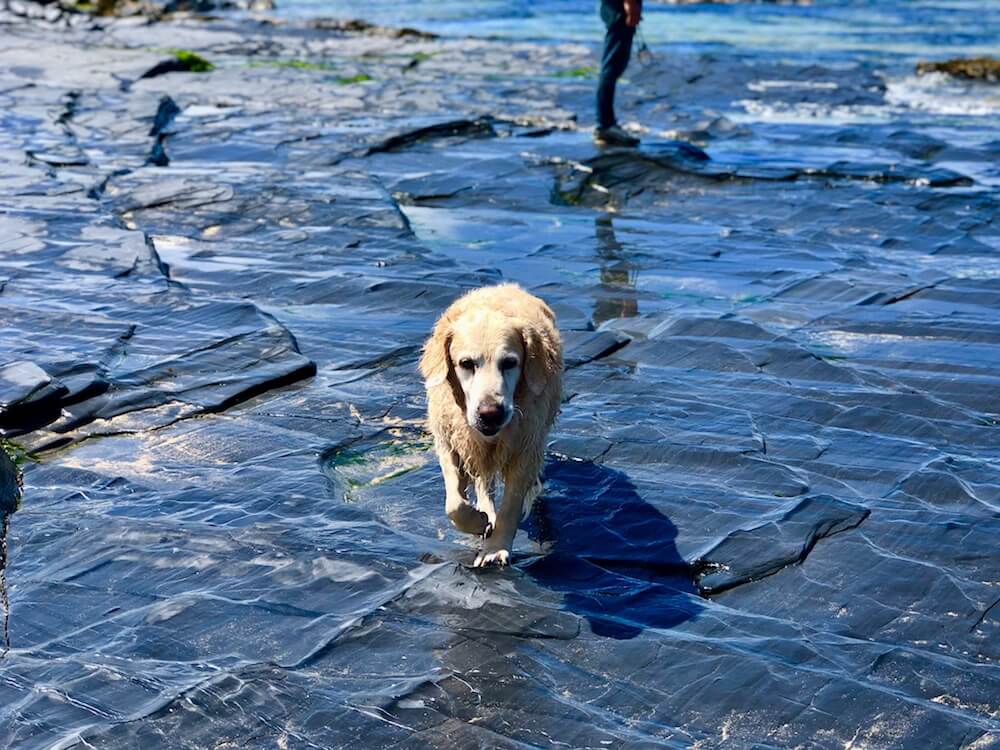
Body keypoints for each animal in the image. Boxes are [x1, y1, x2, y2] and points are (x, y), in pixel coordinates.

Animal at [420, 284, 564, 568]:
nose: (491, 413)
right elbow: (454, 504)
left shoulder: (524, 447)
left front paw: (495, 549)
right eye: (466, 363)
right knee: (482, 484)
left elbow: (511, 506)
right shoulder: (451, 441)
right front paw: (478, 522)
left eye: (509, 363)